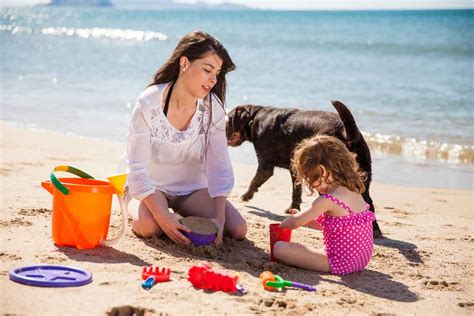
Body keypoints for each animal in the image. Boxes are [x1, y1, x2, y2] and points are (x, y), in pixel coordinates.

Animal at [225, 100, 382, 237]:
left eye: (229, 119)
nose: (223, 129)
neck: (254, 118)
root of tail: (345, 131)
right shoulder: (295, 169)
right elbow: (296, 190)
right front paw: (293, 208)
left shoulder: (265, 163)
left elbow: (254, 181)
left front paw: (246, 196)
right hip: (362, 177)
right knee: (368, 203)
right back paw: (375, 229)